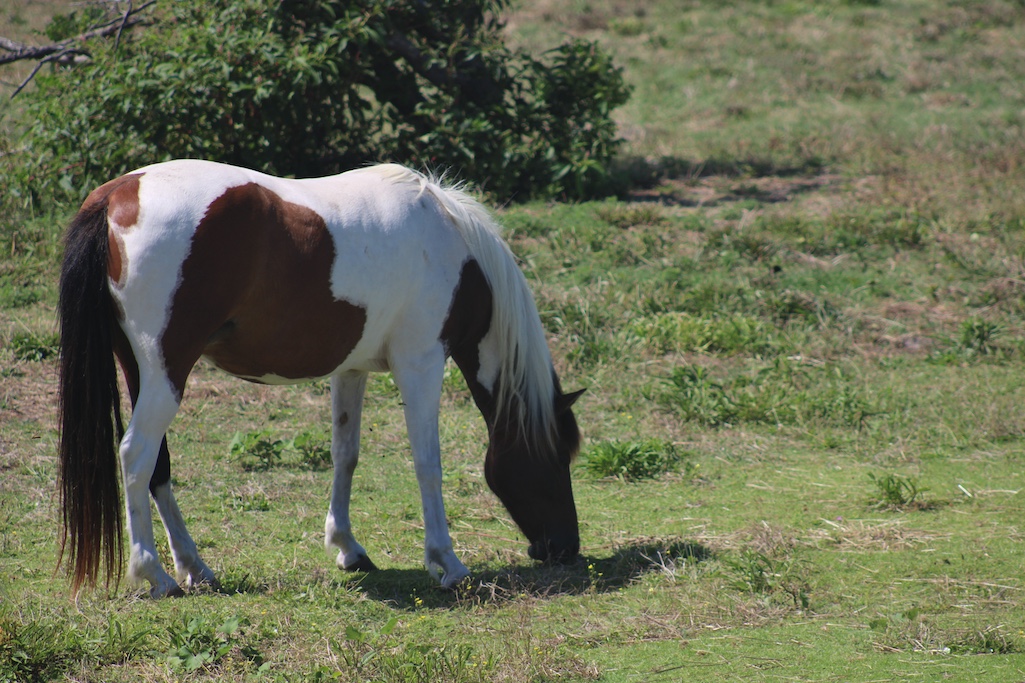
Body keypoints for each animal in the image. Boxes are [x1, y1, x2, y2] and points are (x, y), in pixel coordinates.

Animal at [57, 159, 583, 598]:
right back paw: (156, 574)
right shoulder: (422, 364)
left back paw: (194, 566)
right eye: (558, 456)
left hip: (142, 371)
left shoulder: (350, 369)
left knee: (157, 467)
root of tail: (116, 195)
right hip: (167, 372)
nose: (567, 548)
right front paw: (446, 563)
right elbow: (427, 464)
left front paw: (348, 547)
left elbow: (345, 454)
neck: (451, 246)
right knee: (136, 455)